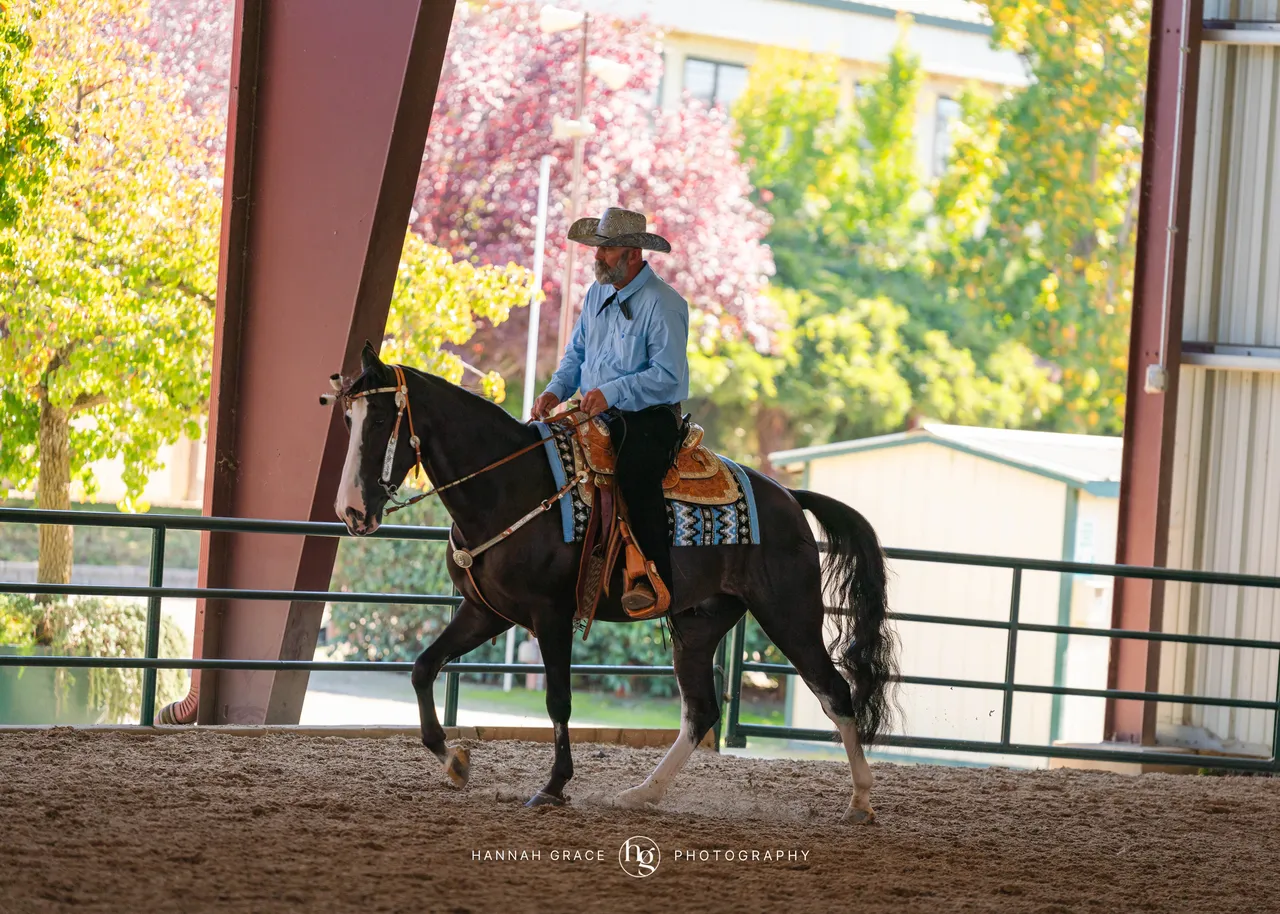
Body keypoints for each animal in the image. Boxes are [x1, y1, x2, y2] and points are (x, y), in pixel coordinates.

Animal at [329, 342, 897, 823]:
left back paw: (861, 802)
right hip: (700, 624)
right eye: (346, 418)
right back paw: (641, 793)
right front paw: (454, 762)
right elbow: (424, 668)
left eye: (380, 418)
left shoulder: (551, 616)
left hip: (790, 616)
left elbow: (558, 700)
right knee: (701, 710)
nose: (351, 511)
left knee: (835, 693)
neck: (509, 486)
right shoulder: (485, 611)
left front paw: (554, 786)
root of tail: (789, 496)